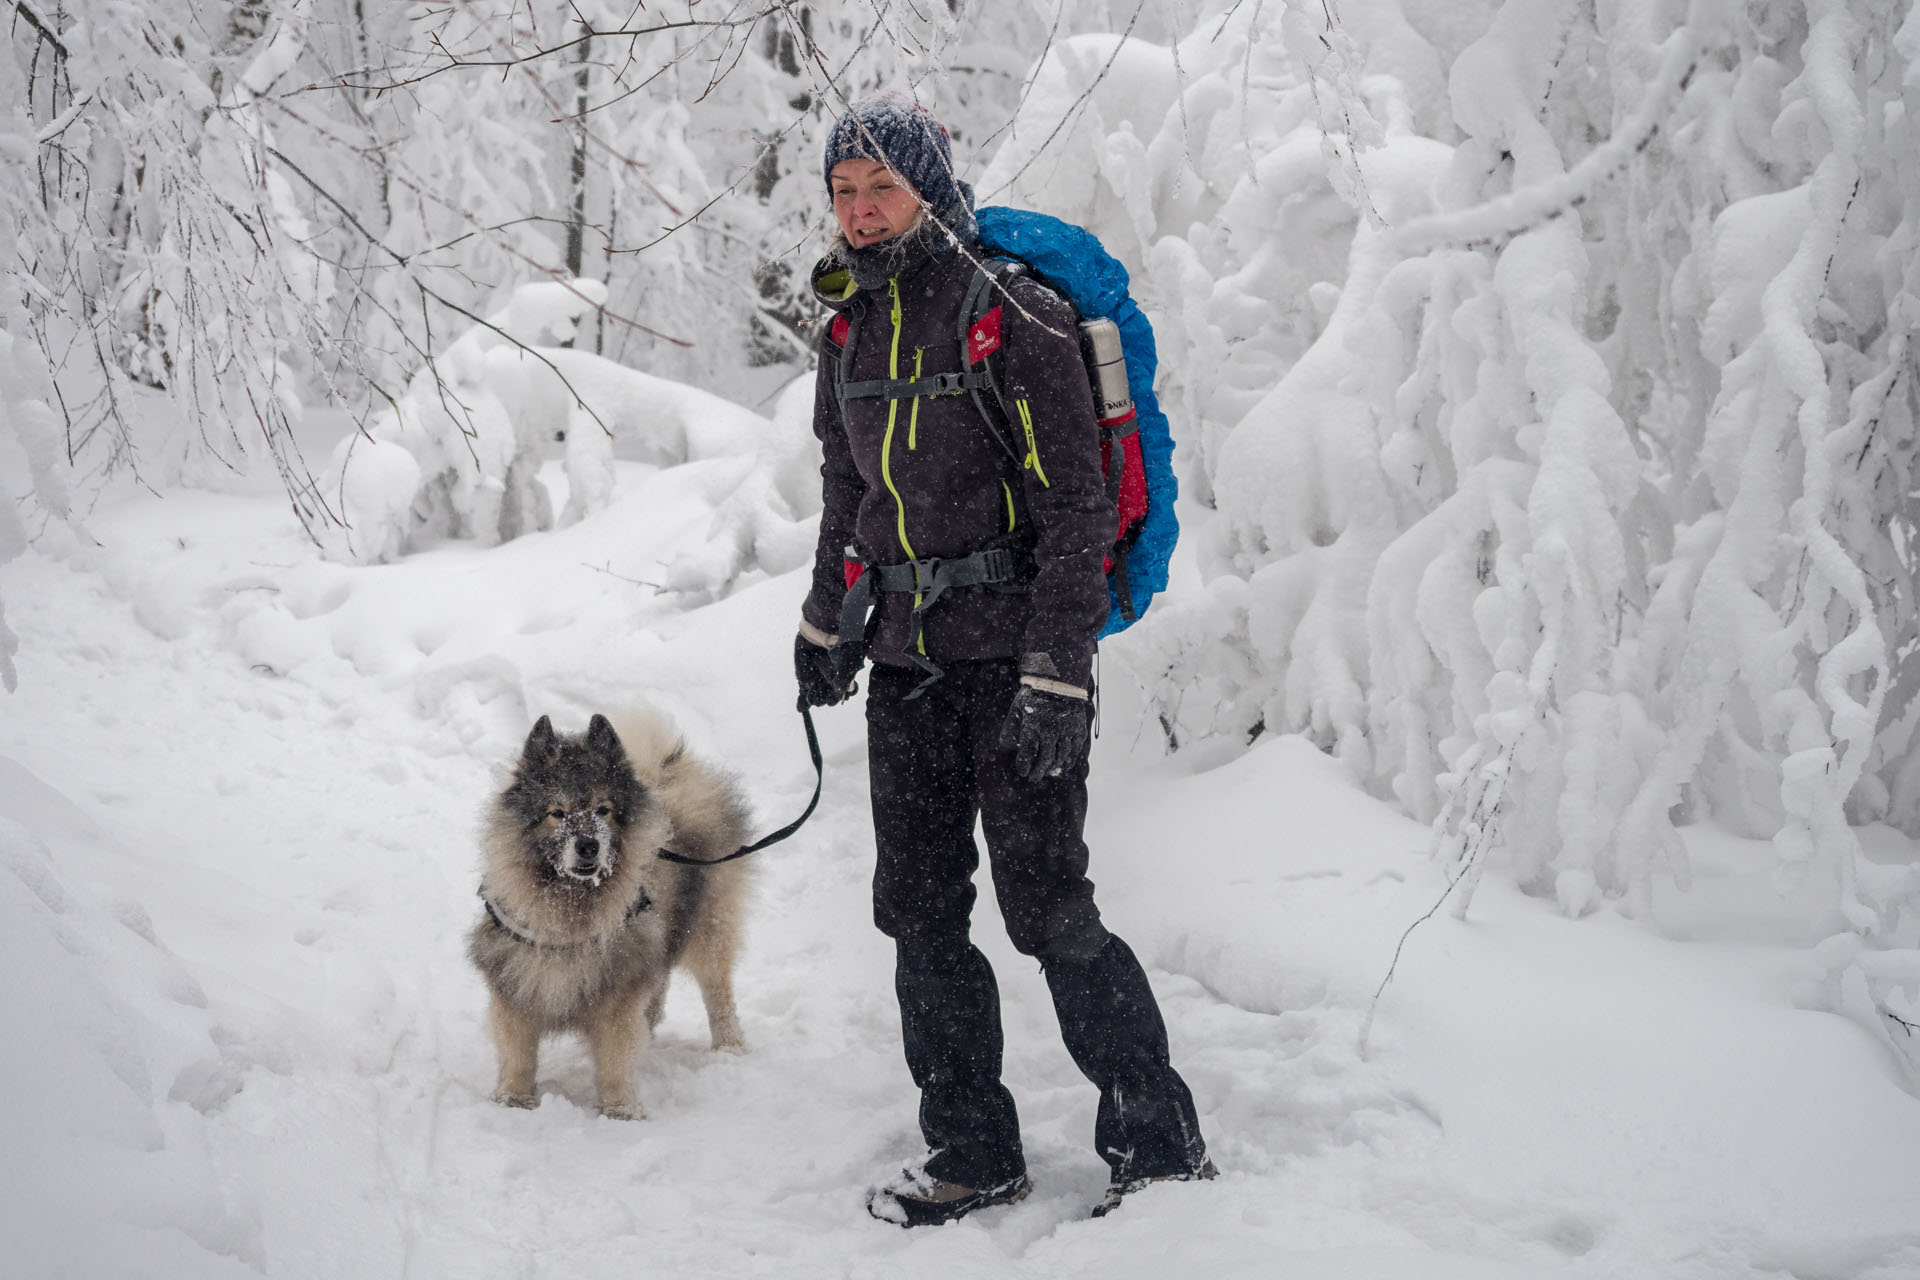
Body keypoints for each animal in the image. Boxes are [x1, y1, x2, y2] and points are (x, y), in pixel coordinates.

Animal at [468, 710, 752, 1120]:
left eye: (603, 810)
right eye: (558, 813)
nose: (588, 845)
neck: (570, 906)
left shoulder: (617, 990)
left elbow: (616, 1058)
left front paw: (620, 1110)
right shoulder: (515, 985)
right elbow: (518, 1054)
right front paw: (513, 1100)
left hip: (708, 931)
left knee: (718, 993)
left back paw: (729, 1047)